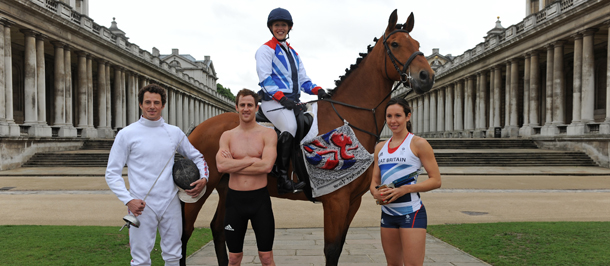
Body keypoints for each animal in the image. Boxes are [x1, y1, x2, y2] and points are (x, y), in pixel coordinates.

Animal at [180, 9, 432, 264]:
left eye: (418, 44)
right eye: (395, 43)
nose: (426, 76)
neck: (348, 119)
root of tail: (200, 126)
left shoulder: (353, 201)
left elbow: (339, 246)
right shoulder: (336, 201)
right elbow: (331, 249)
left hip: (226, 188)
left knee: (218, 229)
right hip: (203, 188)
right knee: (185, 231)